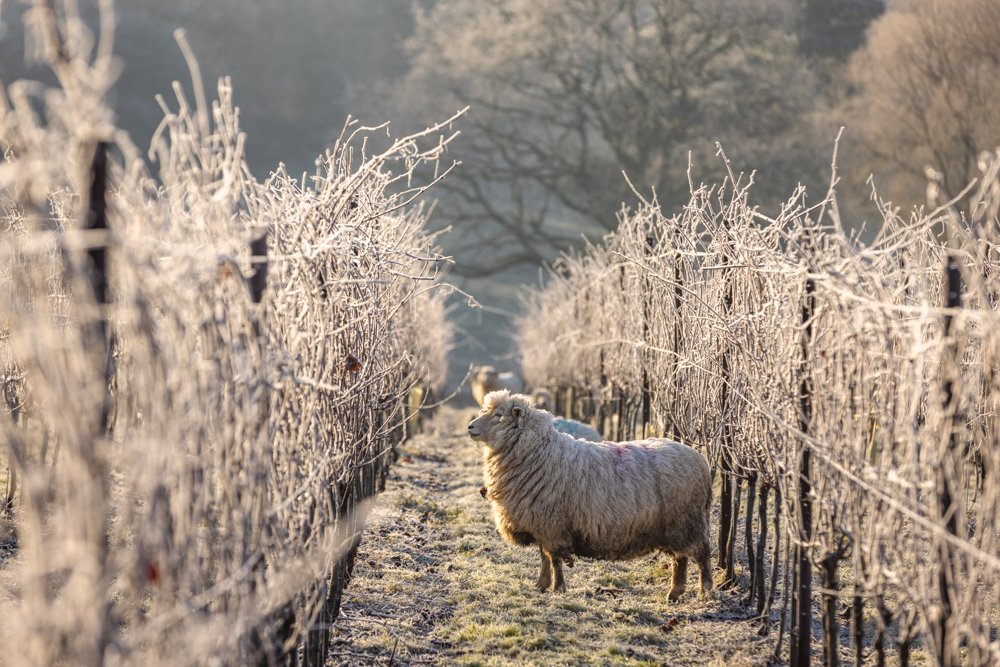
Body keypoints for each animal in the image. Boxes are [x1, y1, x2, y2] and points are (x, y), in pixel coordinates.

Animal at [468, 388, 712, 604]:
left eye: (498, 416)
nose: (470, 427)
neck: (539, 452)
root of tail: (700, 460)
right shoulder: (540, 522)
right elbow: (544, 556)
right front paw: (542, 585)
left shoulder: (552, 524)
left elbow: (554, 559)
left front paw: (558, 588)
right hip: (676, 525)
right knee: (681, 558)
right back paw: (675, 593)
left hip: (686, 520)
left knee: (701, 552)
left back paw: (705, 589)